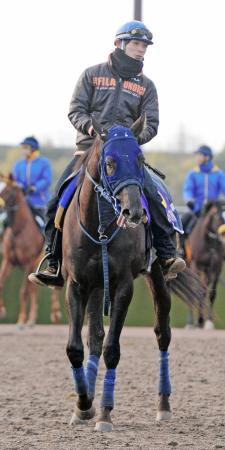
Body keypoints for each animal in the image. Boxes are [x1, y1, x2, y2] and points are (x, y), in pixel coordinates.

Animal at [0, 176, 61, 326]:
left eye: (7, 191)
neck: (19, 230)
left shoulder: (28, 262)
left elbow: (23, 292)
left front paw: (21, 319)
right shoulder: (9, 261)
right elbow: (1, 282)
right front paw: (2, 310)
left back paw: (55, 313)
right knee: (34, 288)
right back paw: (32, 318)